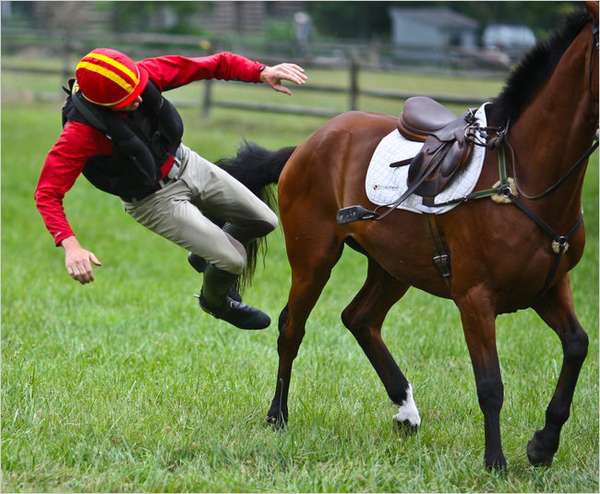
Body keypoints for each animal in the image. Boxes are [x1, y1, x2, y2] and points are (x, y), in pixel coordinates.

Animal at [219, 1, 596, 468]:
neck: (520, 178)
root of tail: (307, 144)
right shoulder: (475, 298)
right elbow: (491, 384)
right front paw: (495, 462)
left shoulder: (549, 286)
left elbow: (577, 346)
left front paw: (543, 443)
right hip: (315, 258)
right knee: (293, 326)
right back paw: (278, 415)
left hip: (393, 267)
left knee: (360, 319)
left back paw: (406, 410)